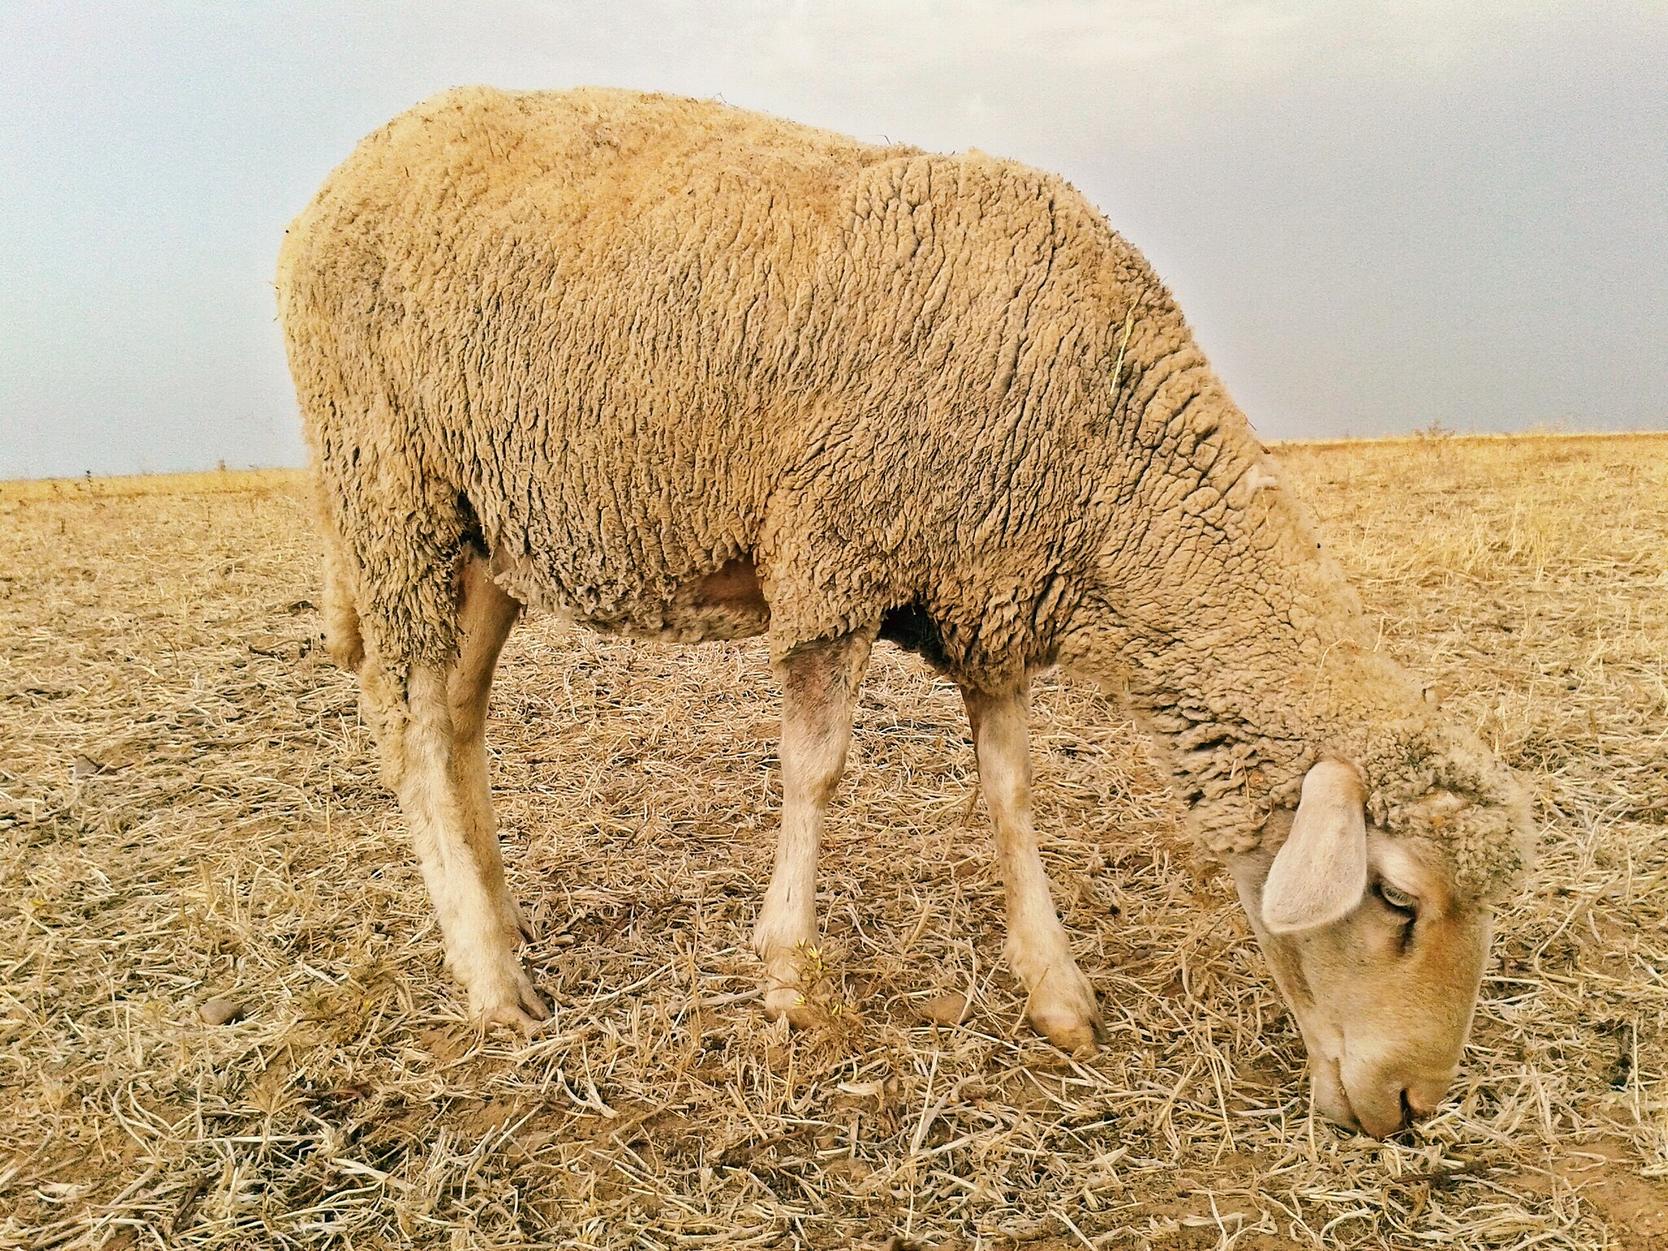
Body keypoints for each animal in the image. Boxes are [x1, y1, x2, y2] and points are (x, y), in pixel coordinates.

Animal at [276, 85, 1534, 1137]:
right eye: (1396, 899)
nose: (1415, 1106)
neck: (1107, 453)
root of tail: (329, 187)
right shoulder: (837, 552)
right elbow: (816, 772)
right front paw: (788, 978)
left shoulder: (992, 591)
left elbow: (1012, 794)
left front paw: (1056, 990)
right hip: (388, 481)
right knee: (406, 723)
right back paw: (491, 983)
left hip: (483, 527)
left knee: (456, 716)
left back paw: (496, 928)